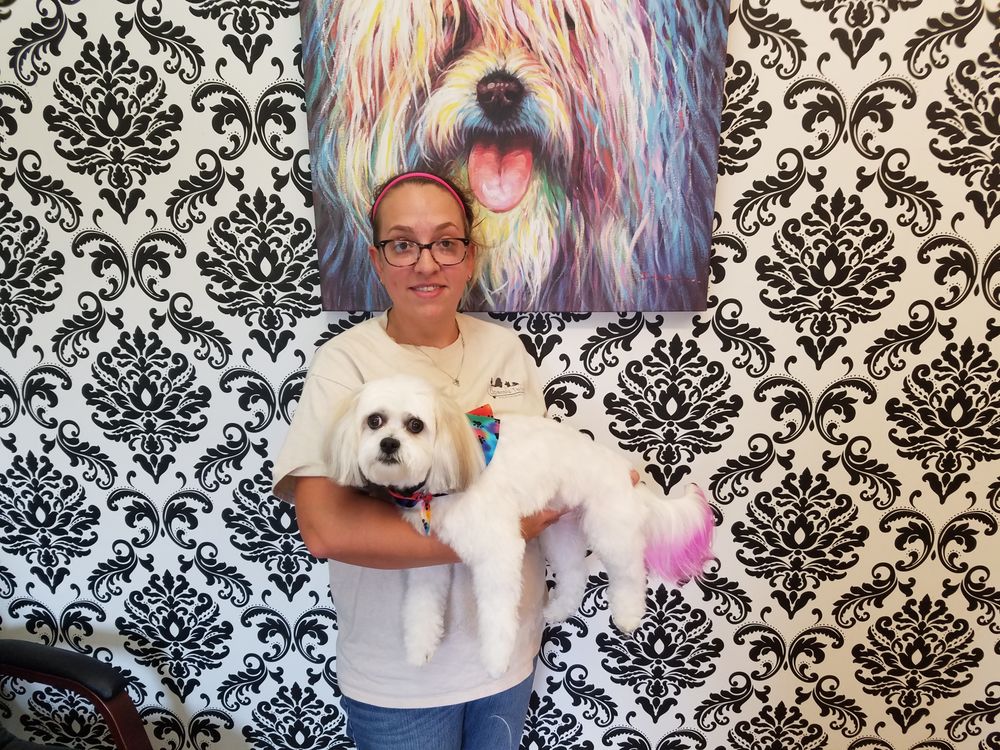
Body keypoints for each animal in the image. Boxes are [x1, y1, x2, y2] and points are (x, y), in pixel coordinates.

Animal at [327, 375, 714, 677]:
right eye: (374, 421)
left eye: (415, 425)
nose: (389, 443)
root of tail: (620, 467)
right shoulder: (426, 561)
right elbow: (421, 607)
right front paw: (420, 647)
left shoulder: (499, 553)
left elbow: (497, 615)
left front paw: (496, 661)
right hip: (561, 531)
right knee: (575, 575)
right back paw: (559, 609)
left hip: (610, 529)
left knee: (631, 574)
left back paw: (629, 616)